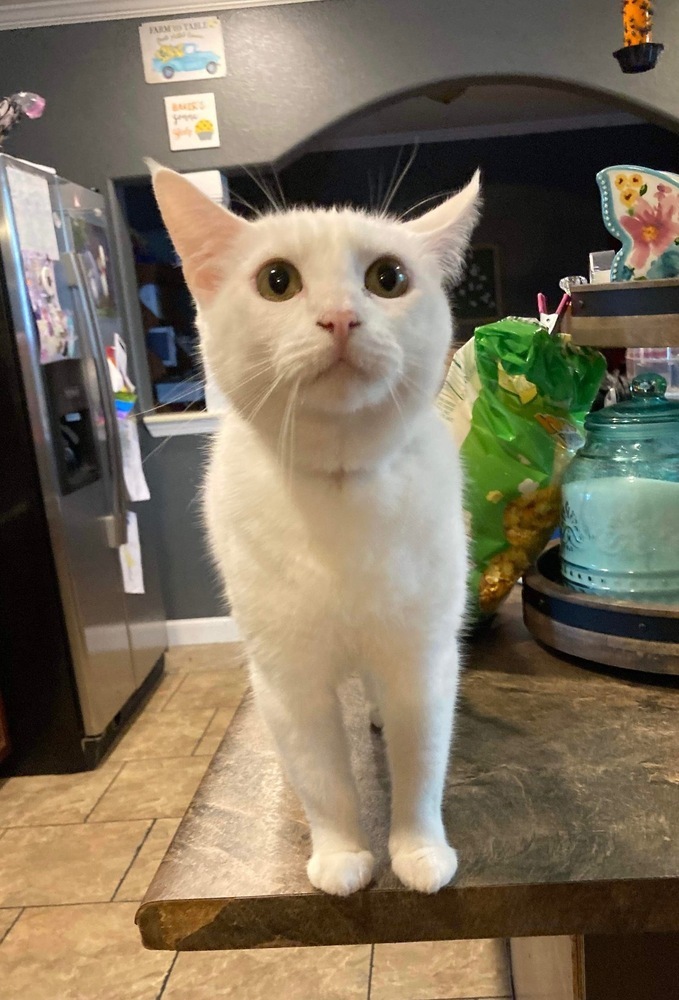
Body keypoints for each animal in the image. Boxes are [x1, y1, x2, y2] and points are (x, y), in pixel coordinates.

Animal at [151, 164, 480, 900]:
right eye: (277, 281)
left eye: (388, 278)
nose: (340, 317)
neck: (338, 489)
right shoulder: (289, 678)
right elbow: (324, 781)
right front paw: (341, 857)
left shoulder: (421, 662)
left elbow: (421, 768)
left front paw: (419, 852)